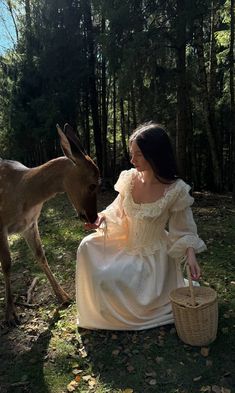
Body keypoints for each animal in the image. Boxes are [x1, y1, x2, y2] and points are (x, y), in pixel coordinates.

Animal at [0, 122, 100, 324]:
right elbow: (6, 264)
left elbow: (40, 255)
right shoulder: (1, 224)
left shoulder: (30, 224)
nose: (92, 217)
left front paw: (64, 297)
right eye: (93, 184)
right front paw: (10, 314)